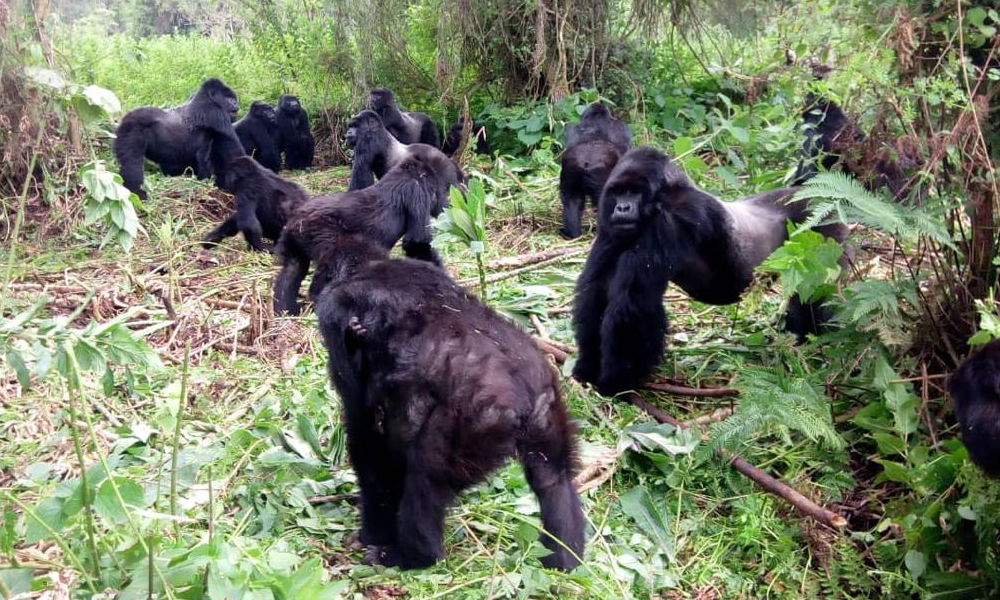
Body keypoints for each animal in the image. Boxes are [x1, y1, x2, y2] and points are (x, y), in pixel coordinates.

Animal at [114, 76, 244, 199]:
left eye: (234, 99)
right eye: (229, 98)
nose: (235, 103)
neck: (207, 97)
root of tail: (124, 118)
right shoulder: (216, 113)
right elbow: (234, 155)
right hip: (131, 127)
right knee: (132, 163)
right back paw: (137, 192)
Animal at [314, 232, 584, 568]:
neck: (368, 266)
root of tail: (525, 398)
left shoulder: (334, 318)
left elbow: (364, 431)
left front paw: (373, 532)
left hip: (477, 420)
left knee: (426, 476)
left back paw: (412, 555)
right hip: (549, 407)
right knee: (553, 479)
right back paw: (565, 557)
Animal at [576, 147, 848, 396]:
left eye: (634, 192)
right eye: (619, 192)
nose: (622, 208)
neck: (667, 192)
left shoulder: (674, 217)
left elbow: (632, 305)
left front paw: (616, 383)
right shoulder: (611, 226)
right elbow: (596, 292)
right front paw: (586, 368)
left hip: (824, 226)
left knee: (825, 292)